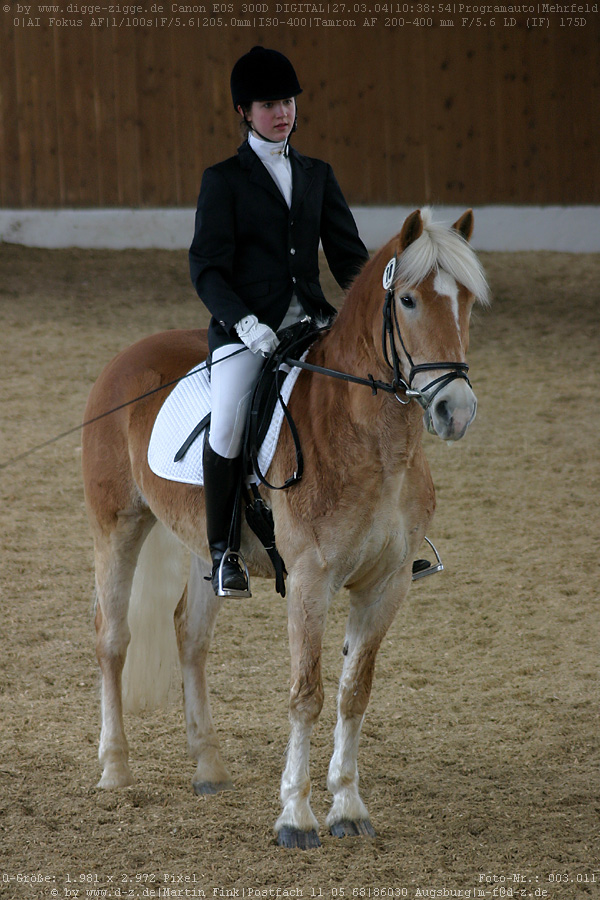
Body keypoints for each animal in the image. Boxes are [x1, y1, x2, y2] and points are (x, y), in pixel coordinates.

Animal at [82, 207, 490, 848]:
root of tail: (126, 357)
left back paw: (209, 767)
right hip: (116, 526)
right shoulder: (309, 580)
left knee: (190, 637)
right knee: (112, 637)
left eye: (467, 299)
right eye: (407, 300)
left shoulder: (388, 583)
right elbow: (307, 695)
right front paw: (296, 817)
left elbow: (354, 693)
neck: (374, 443)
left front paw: (348, 807)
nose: (456, 411)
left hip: (206, 549)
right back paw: (116, 770)